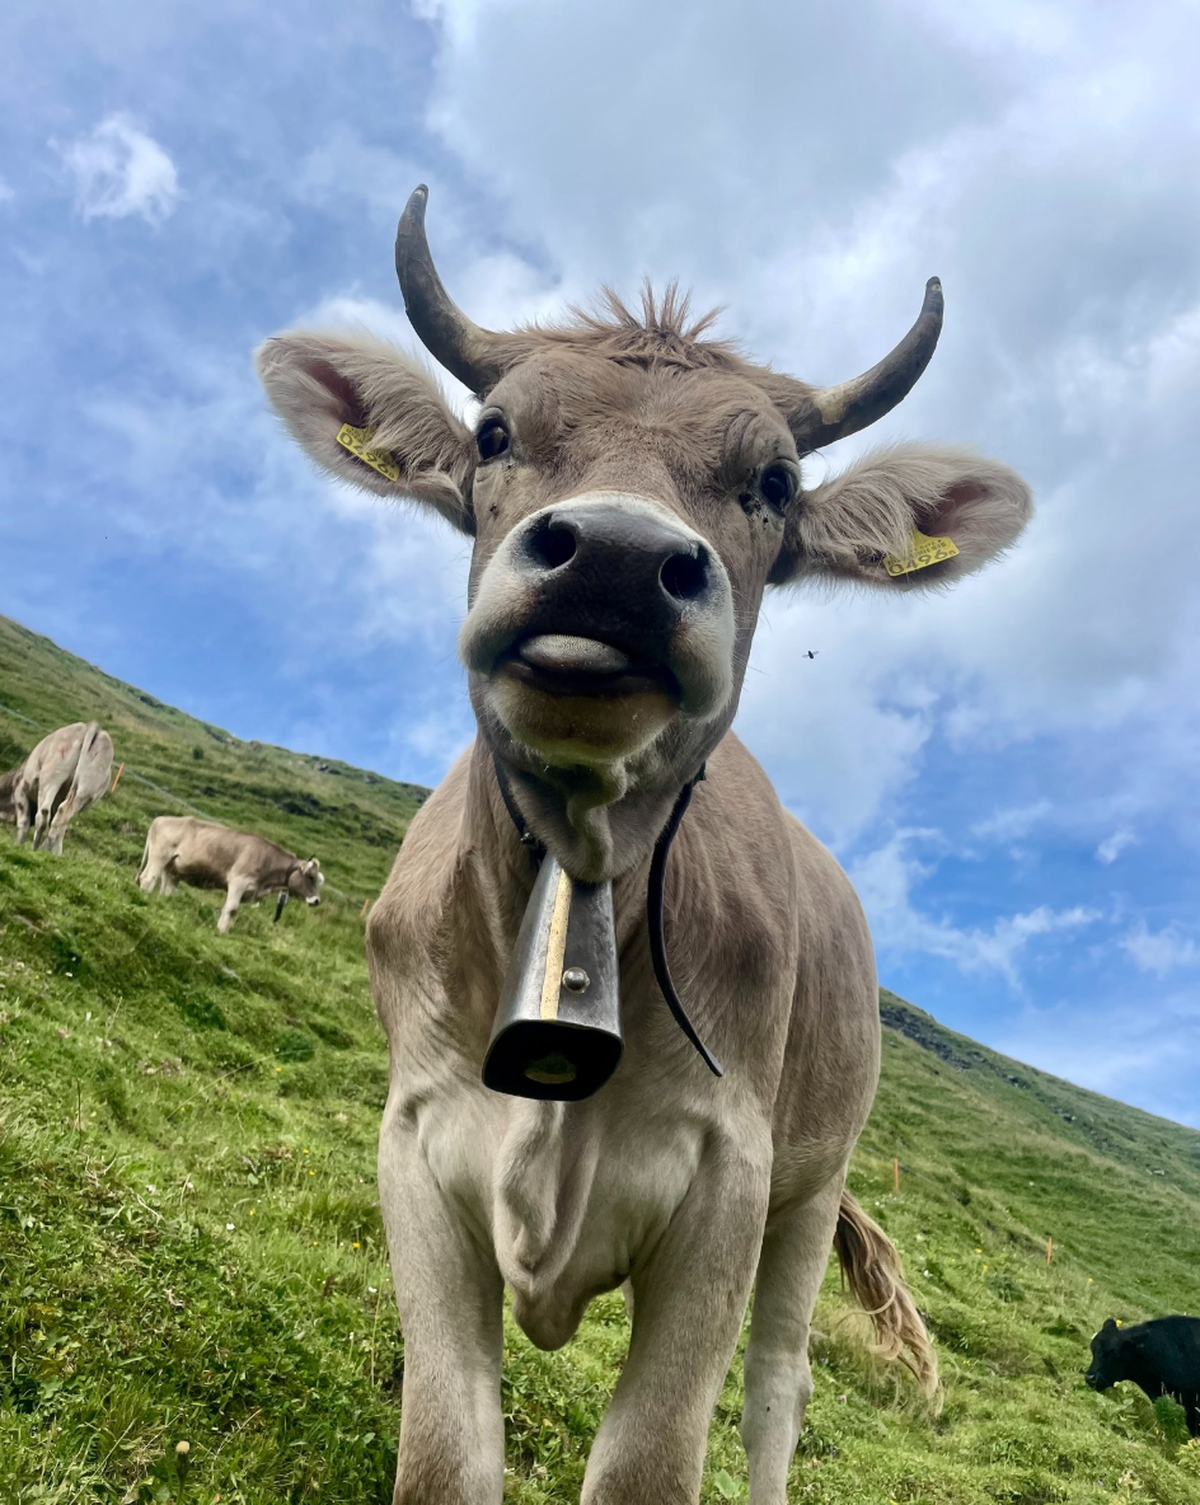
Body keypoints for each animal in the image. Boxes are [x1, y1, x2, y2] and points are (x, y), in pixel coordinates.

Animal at [9, 721, 114, 854]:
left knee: (44, 814)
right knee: (62, 816)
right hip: (86, 788)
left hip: (52, 777)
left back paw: (36, 847)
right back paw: (53, 851)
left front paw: (18, 844)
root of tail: (91, 727)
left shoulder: (21, 789)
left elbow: (24, 822)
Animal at [137, 814, 324, 933]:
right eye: (310, 877)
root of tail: (160, 819)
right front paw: (221, 931)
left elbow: (233, 913)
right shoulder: (238, 883)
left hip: (172, 869)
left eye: (318, 880)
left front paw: (225, 931)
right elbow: (231, 909)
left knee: (165, 889)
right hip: (159, 856)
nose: (316, 901)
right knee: (147, 879)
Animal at [255, 186, 1033, 1505]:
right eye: (496, 433)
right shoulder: (414, 1147)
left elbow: (652, 1462)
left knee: (780, 1381)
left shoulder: (729, 1181)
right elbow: (443, 1456)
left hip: (815, 1181)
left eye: (773, 479)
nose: (617, 558)